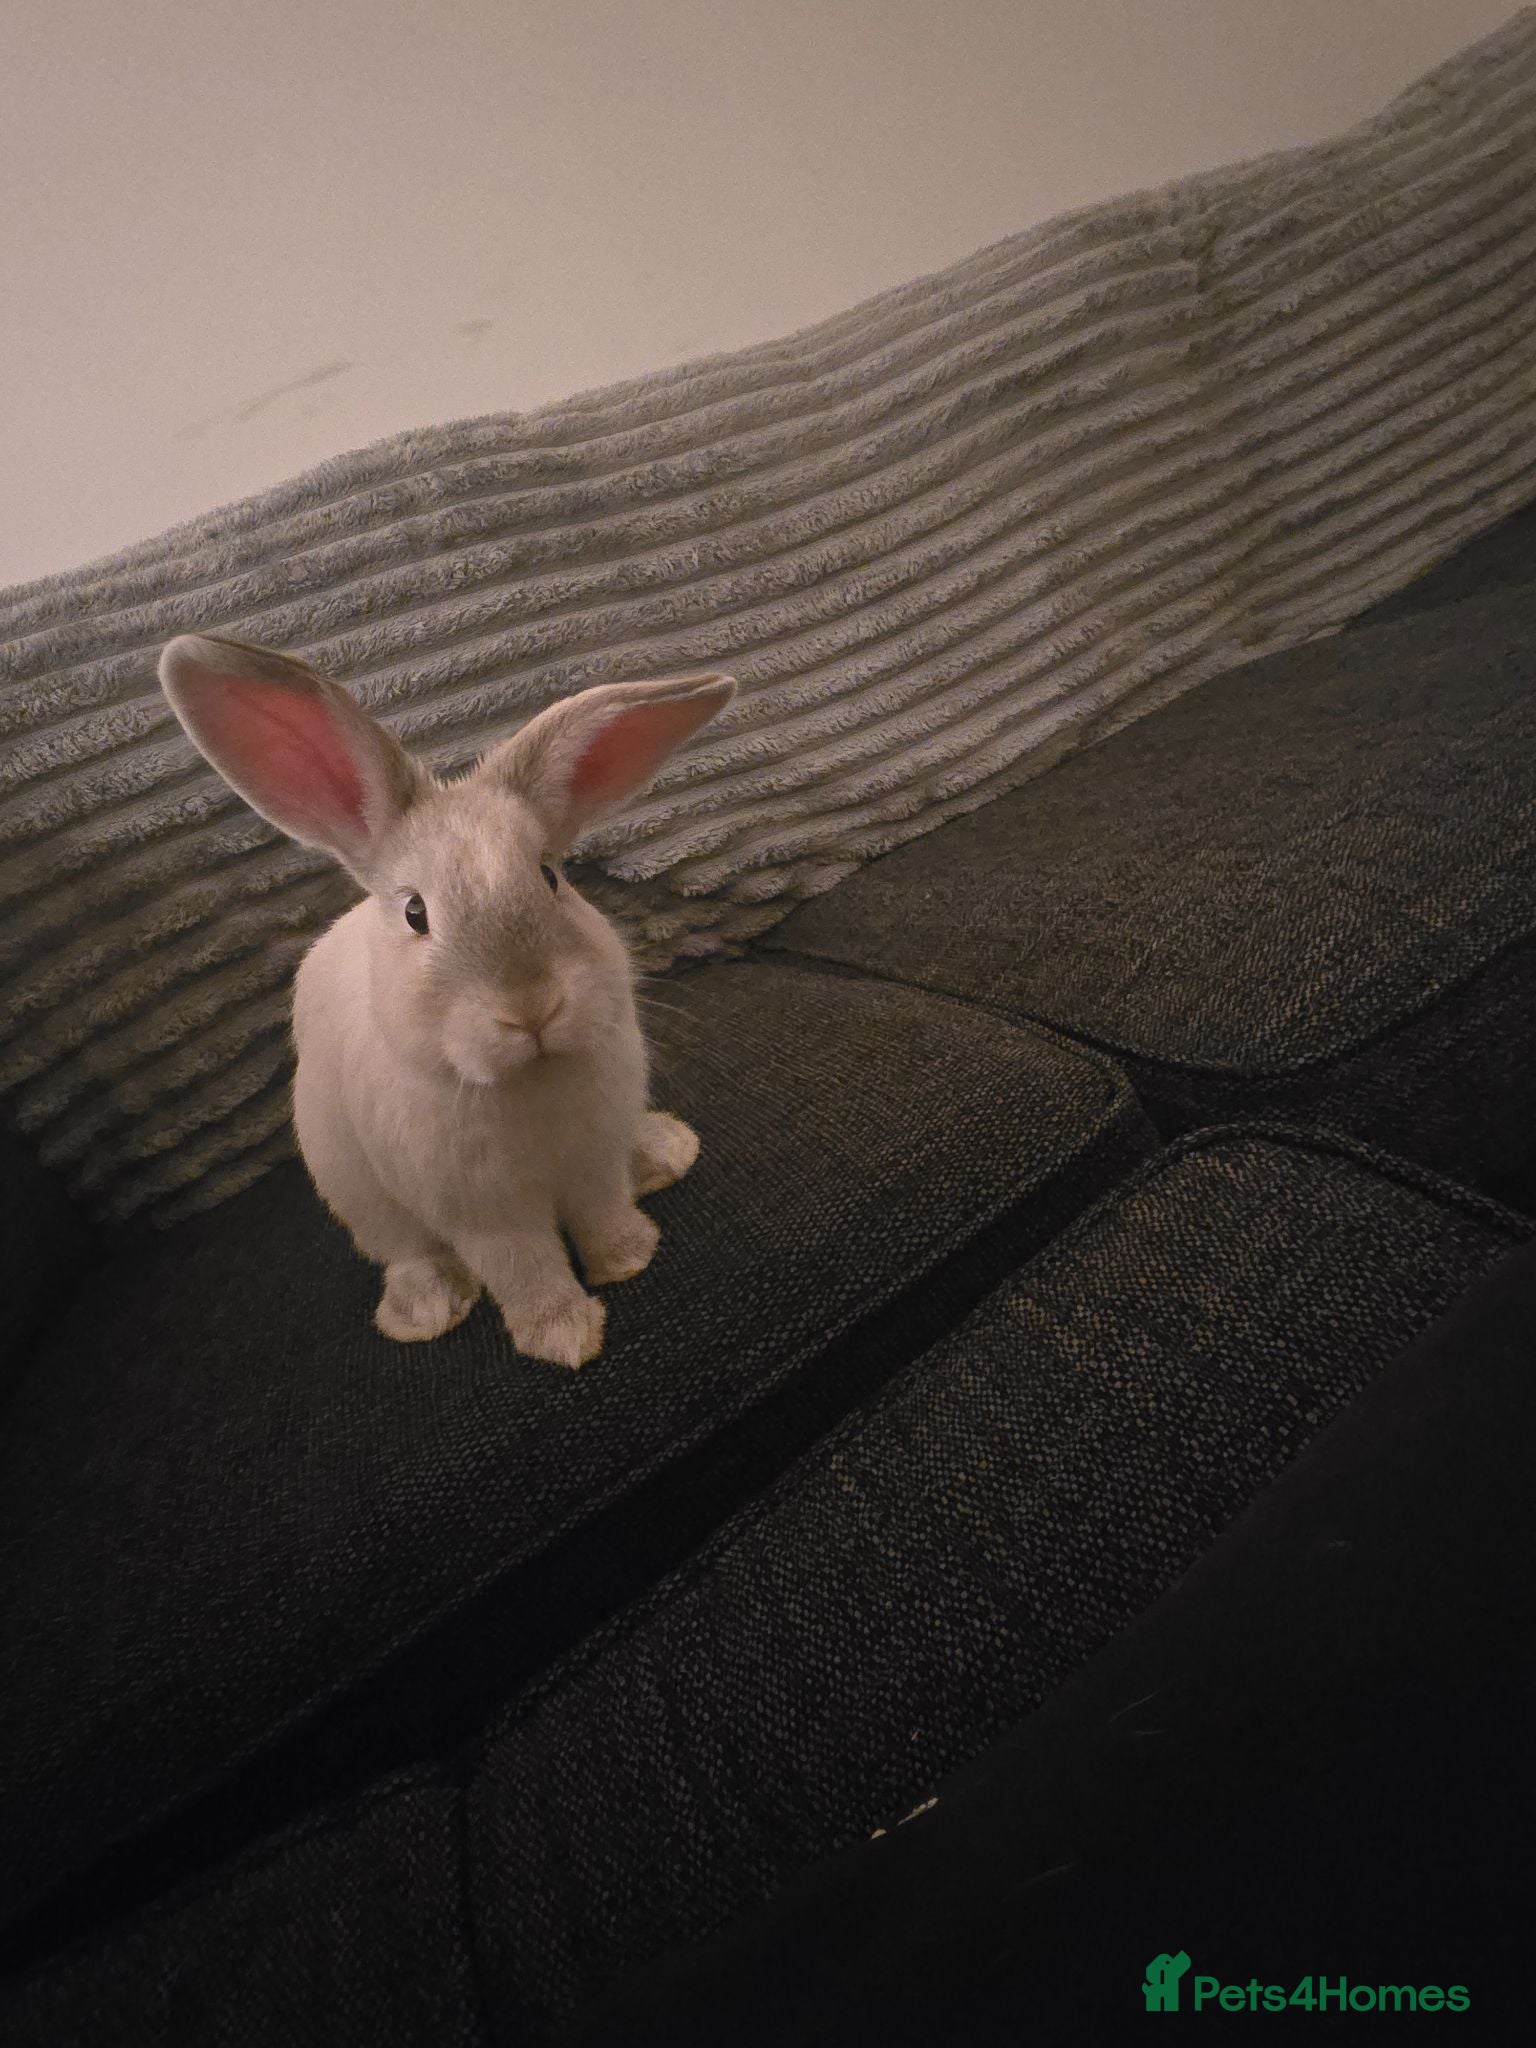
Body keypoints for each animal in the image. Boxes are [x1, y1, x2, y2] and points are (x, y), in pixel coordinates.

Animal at [159, 632, 735, 1369]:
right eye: (415, 913)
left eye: (551, 877)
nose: (532, 1009)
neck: (528, 1080)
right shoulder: (485, 1216)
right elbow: (526, 1269)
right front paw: (565, 1338)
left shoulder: (594, 1160)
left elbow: (603, 1212)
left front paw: (630, 1258)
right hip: (358, 1195)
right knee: (407, 1253)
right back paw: (423, 1311)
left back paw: (664, 1154)